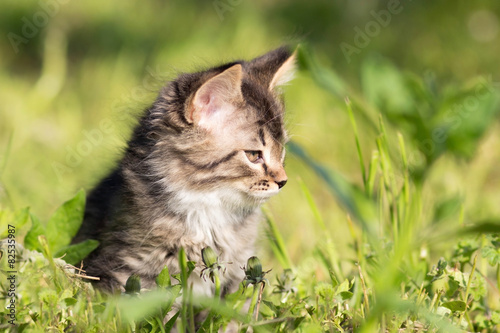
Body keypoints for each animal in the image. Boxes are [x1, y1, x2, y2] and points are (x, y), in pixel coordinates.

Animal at [74, 45, 296, 294]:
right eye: (253, 155)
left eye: (281, 151)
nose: (283, 181)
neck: (209, 212)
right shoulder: (125, 268)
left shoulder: (239, 269)